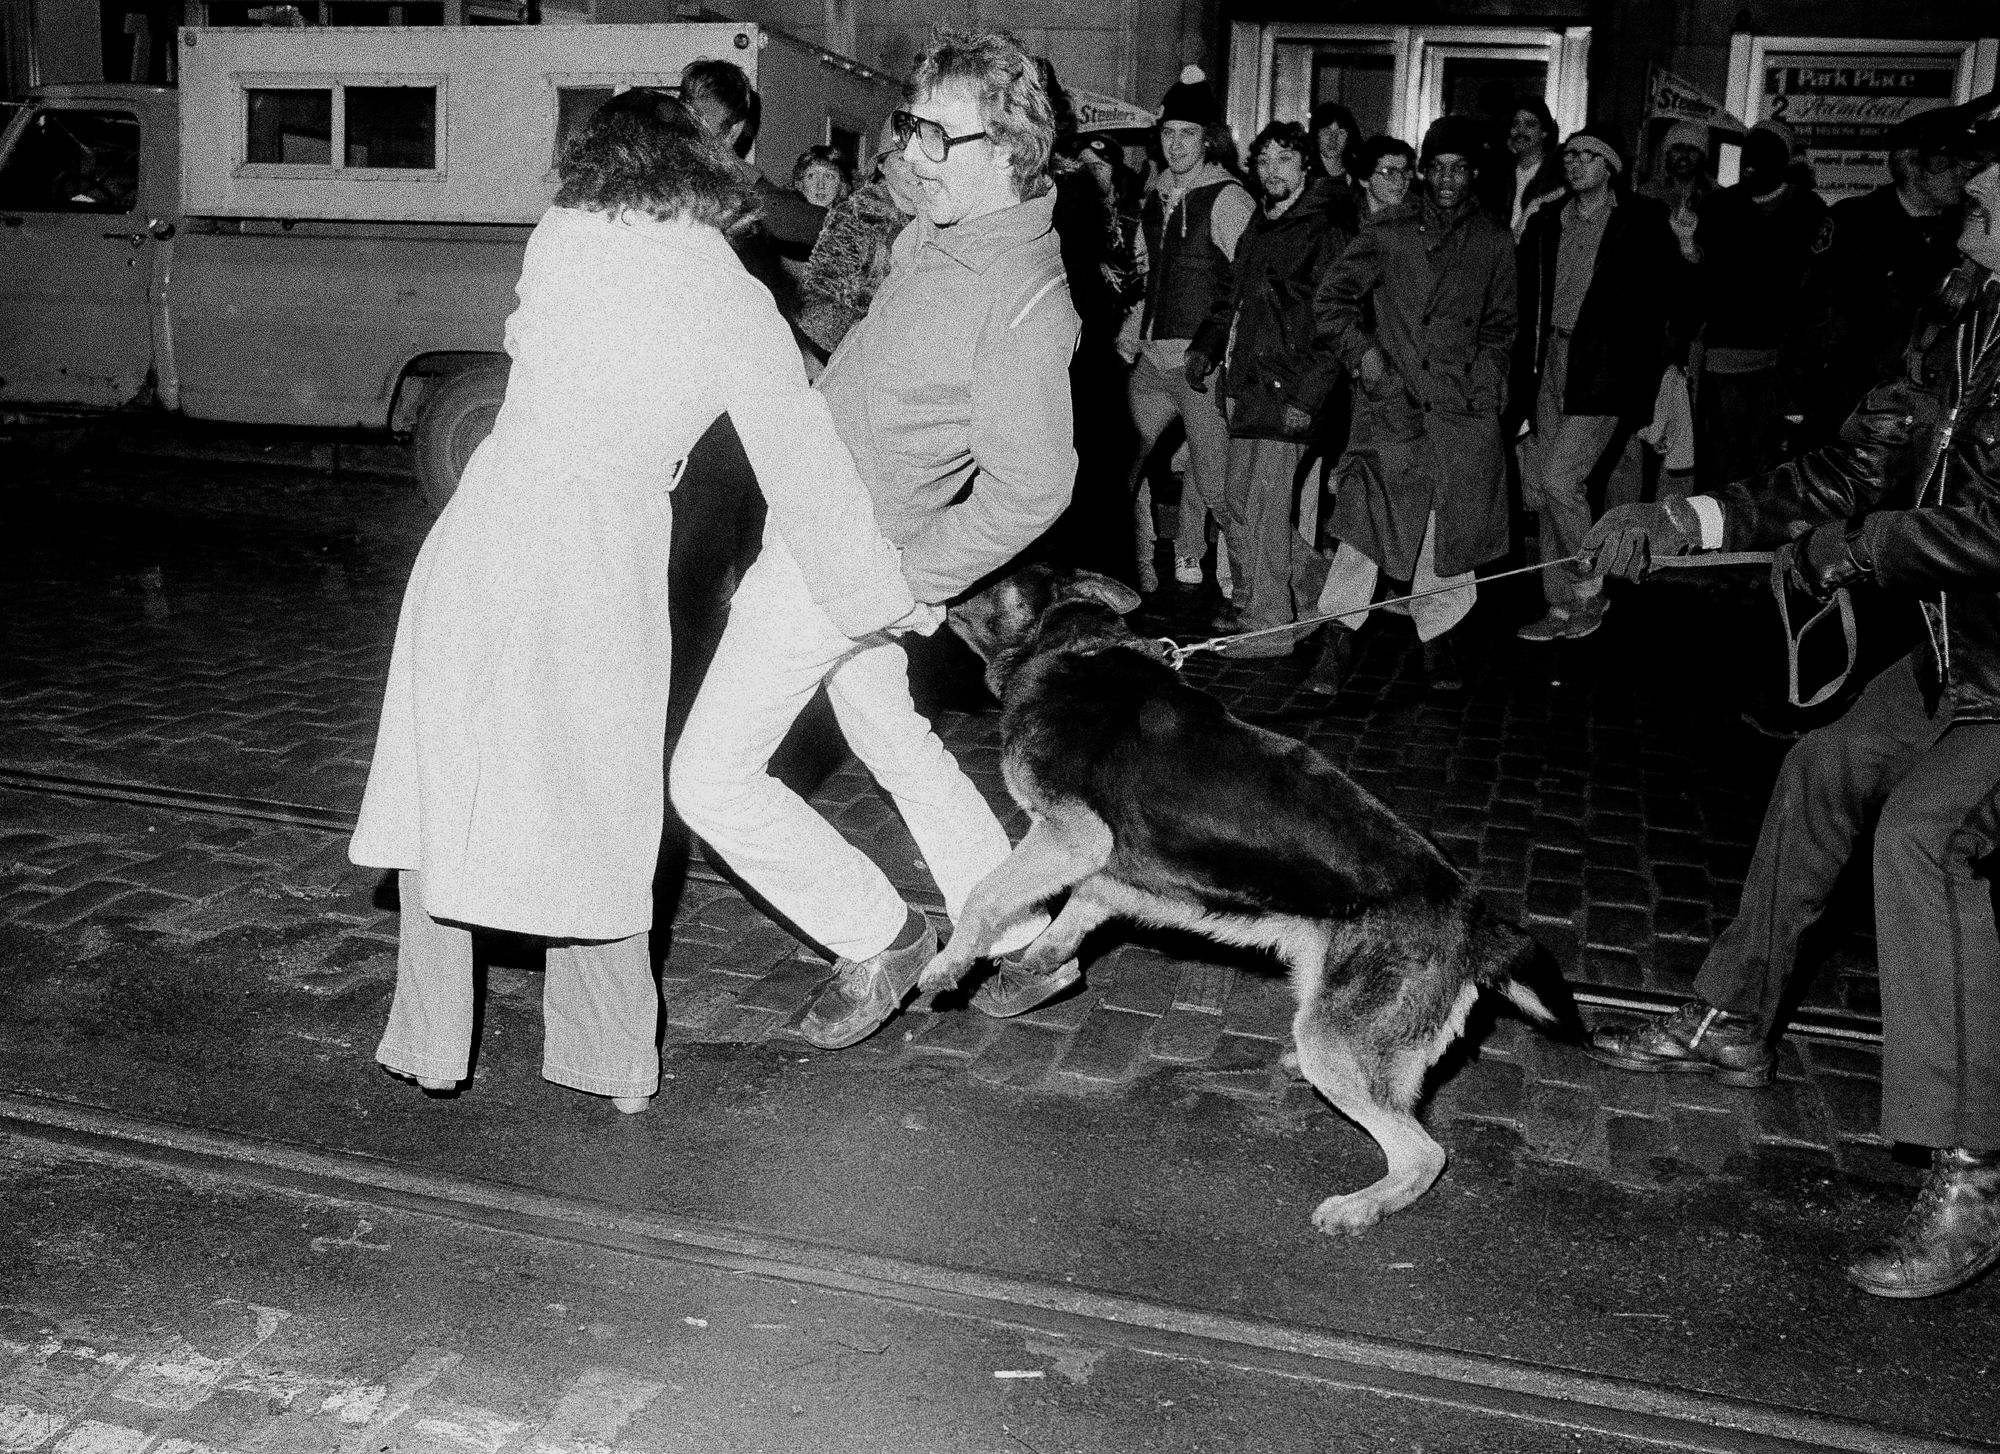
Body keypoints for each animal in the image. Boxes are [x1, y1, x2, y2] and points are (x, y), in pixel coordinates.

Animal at [924, 564, 1560, 1232]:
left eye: (992, 581)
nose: (937, 595)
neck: (1071, 647)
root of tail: (1478, 919)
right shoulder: (1101, 859)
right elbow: (1077, 906)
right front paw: (1040, 960)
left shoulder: (1071, 833)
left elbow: (986, 892)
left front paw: (949, 963)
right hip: (1325, 993)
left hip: (1338, 1041)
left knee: (1423, 1153)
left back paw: (1359, 1207)